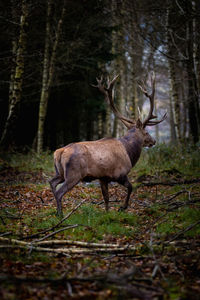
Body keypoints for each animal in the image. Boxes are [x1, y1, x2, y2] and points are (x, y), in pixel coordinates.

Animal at [49, 73, 166, 216]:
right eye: (146, 132)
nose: (153, 141)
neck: (129, 151)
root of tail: (59, 152)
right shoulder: (120, 173)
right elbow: (130, 187)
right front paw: (123, 207)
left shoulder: (102, 177)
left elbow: (106, 197)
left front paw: (107, 212)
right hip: (73, 174)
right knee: (59, 192)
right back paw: (60, 214)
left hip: (59, 172)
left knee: (52, 182)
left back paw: (57, 212)